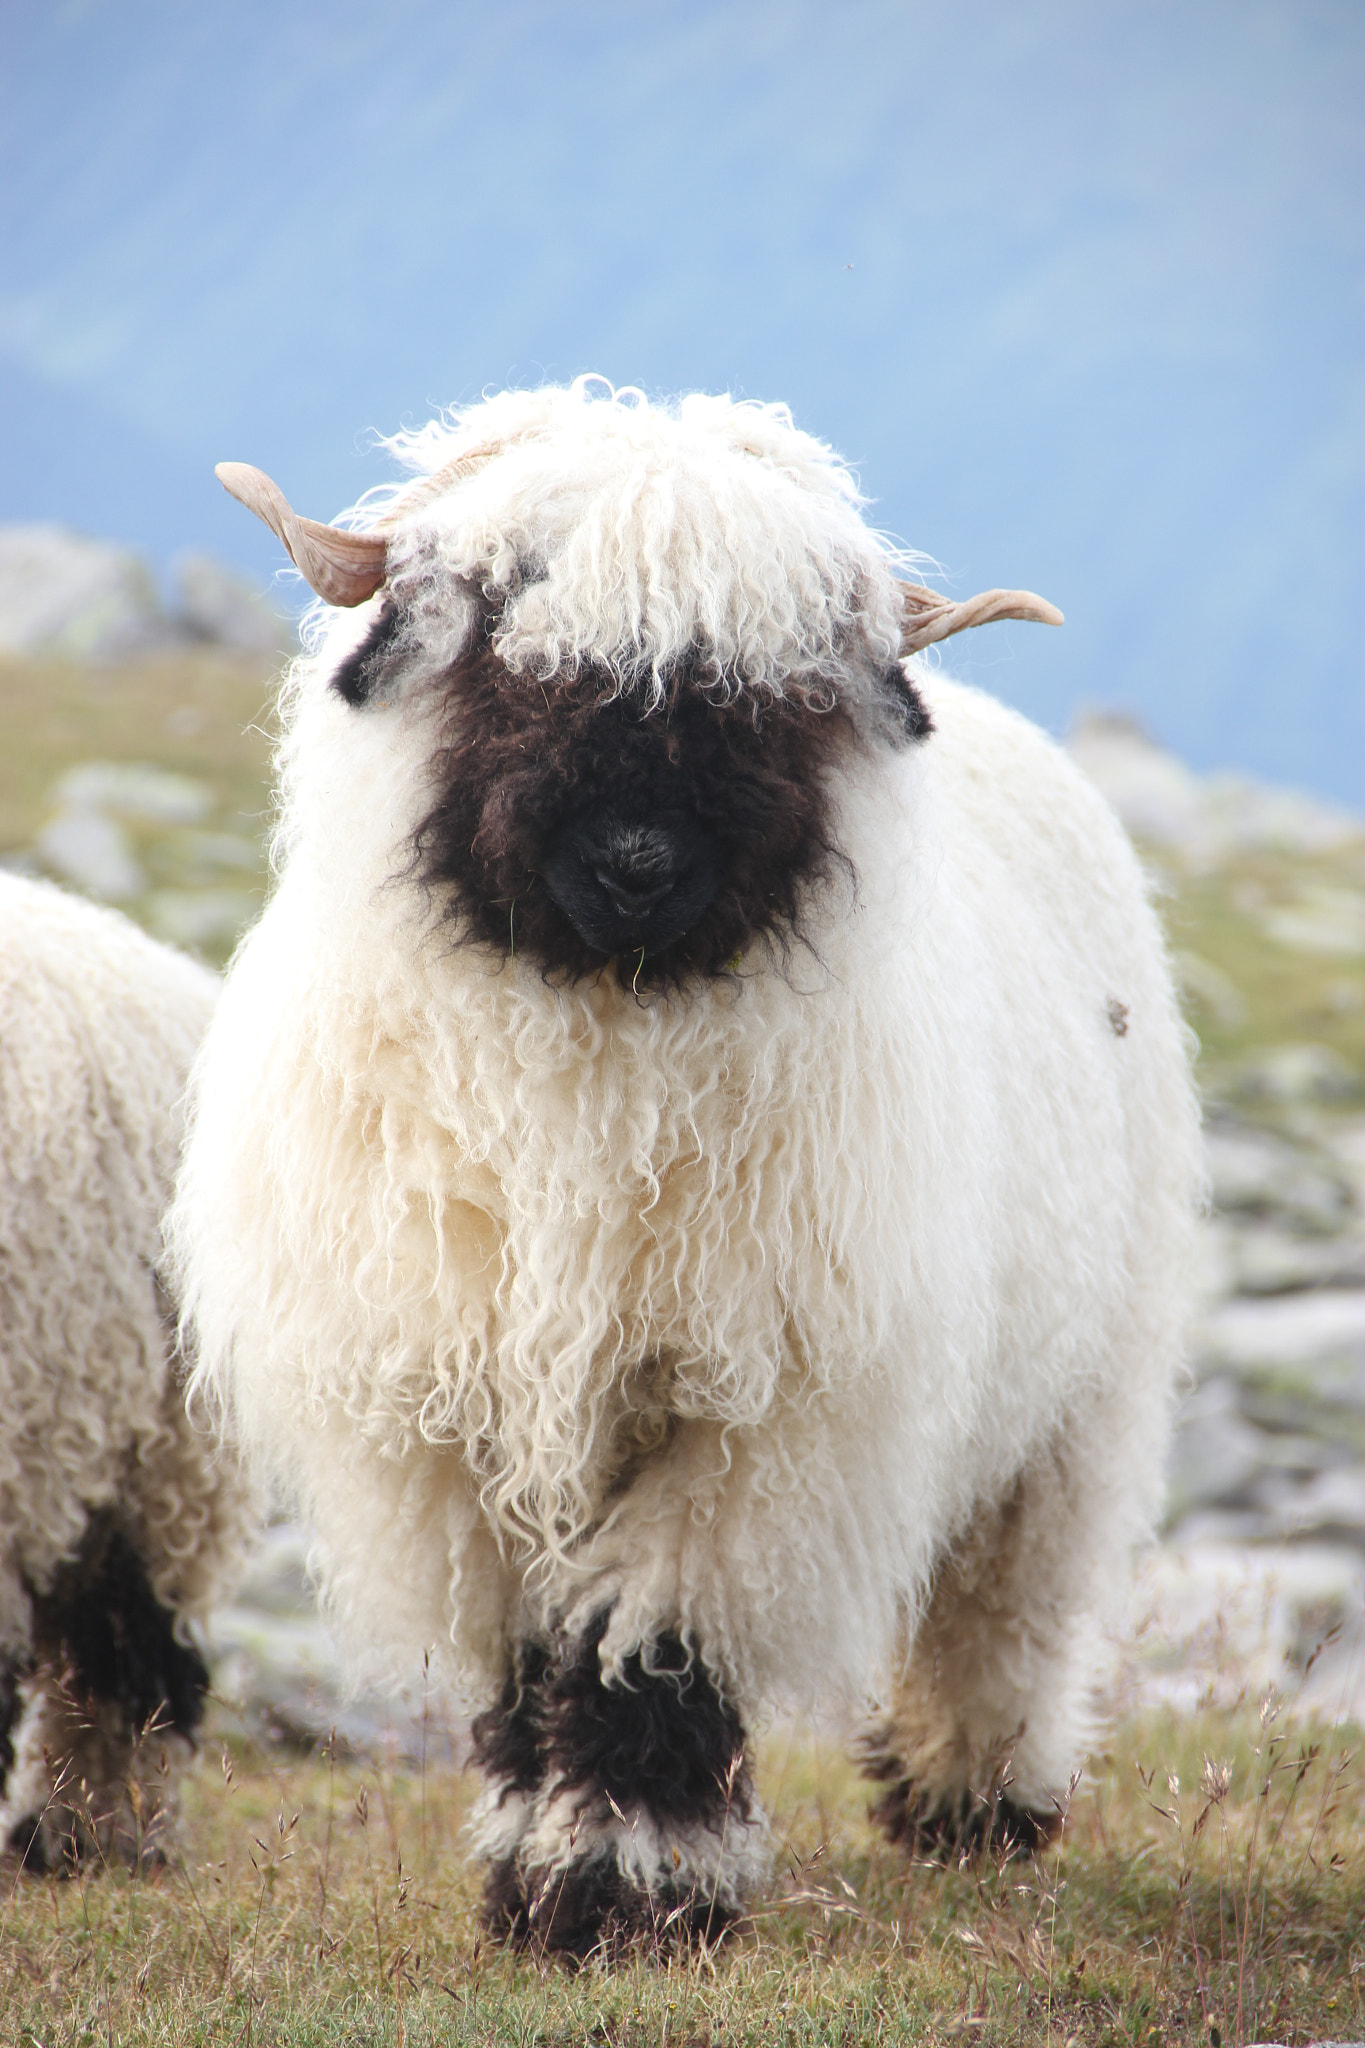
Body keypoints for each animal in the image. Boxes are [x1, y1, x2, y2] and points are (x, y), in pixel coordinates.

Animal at [173, 380, 1203, 1949]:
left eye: (760, 696)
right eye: (506, 655)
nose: (637, 859)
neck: (599, 1060)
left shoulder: (747, 1415)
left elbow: (648, 1640)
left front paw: (624, 1889)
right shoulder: (467, 1419)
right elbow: (531, 1651)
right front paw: (533, 1871)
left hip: (1075, 1399)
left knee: (1004, 1601)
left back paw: (973, 1805)